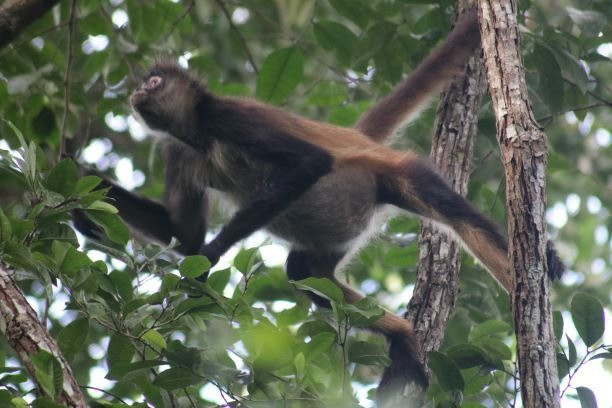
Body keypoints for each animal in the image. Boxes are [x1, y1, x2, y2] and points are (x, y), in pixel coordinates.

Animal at [77, 9, 564, 402]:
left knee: (455, 215)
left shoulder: (230, 117)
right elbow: (183, 234)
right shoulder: (179, 152)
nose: (137, 93)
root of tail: (360, 139)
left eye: (153, 81)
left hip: (396, 175)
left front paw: (211, 256)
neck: (199, 136)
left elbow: (308, 164)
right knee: (304, 274)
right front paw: (80, 191)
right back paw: (404, 338)